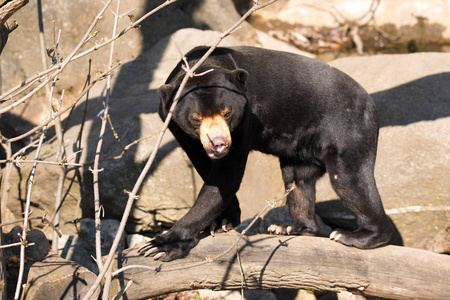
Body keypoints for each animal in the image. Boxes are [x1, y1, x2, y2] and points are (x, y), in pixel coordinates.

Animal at [138, 45, 394, 262]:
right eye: (196, 118)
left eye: (227, 112)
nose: (219, 144)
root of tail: (371, 104)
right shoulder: (175, 125)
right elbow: (206, 167)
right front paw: (223, 221)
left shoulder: (245, 120)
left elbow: (226, 177)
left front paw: (160, 245)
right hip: (302, 149)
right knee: (298, 180)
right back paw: (292, 228)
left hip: (349, 129)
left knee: (349, 179)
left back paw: (356, 236)